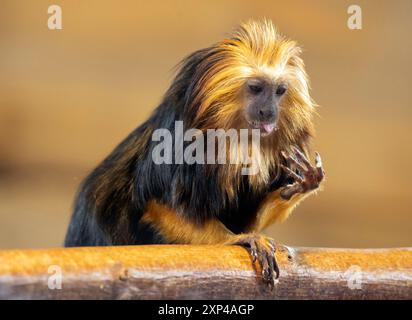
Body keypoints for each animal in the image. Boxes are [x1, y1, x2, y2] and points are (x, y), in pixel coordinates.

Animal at [64, 20, 324, 284]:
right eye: (256, 88)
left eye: (279, 91)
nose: (269, 112)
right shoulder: (177, 144)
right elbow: (160, 204)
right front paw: (235, 238)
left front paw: (301, 185)